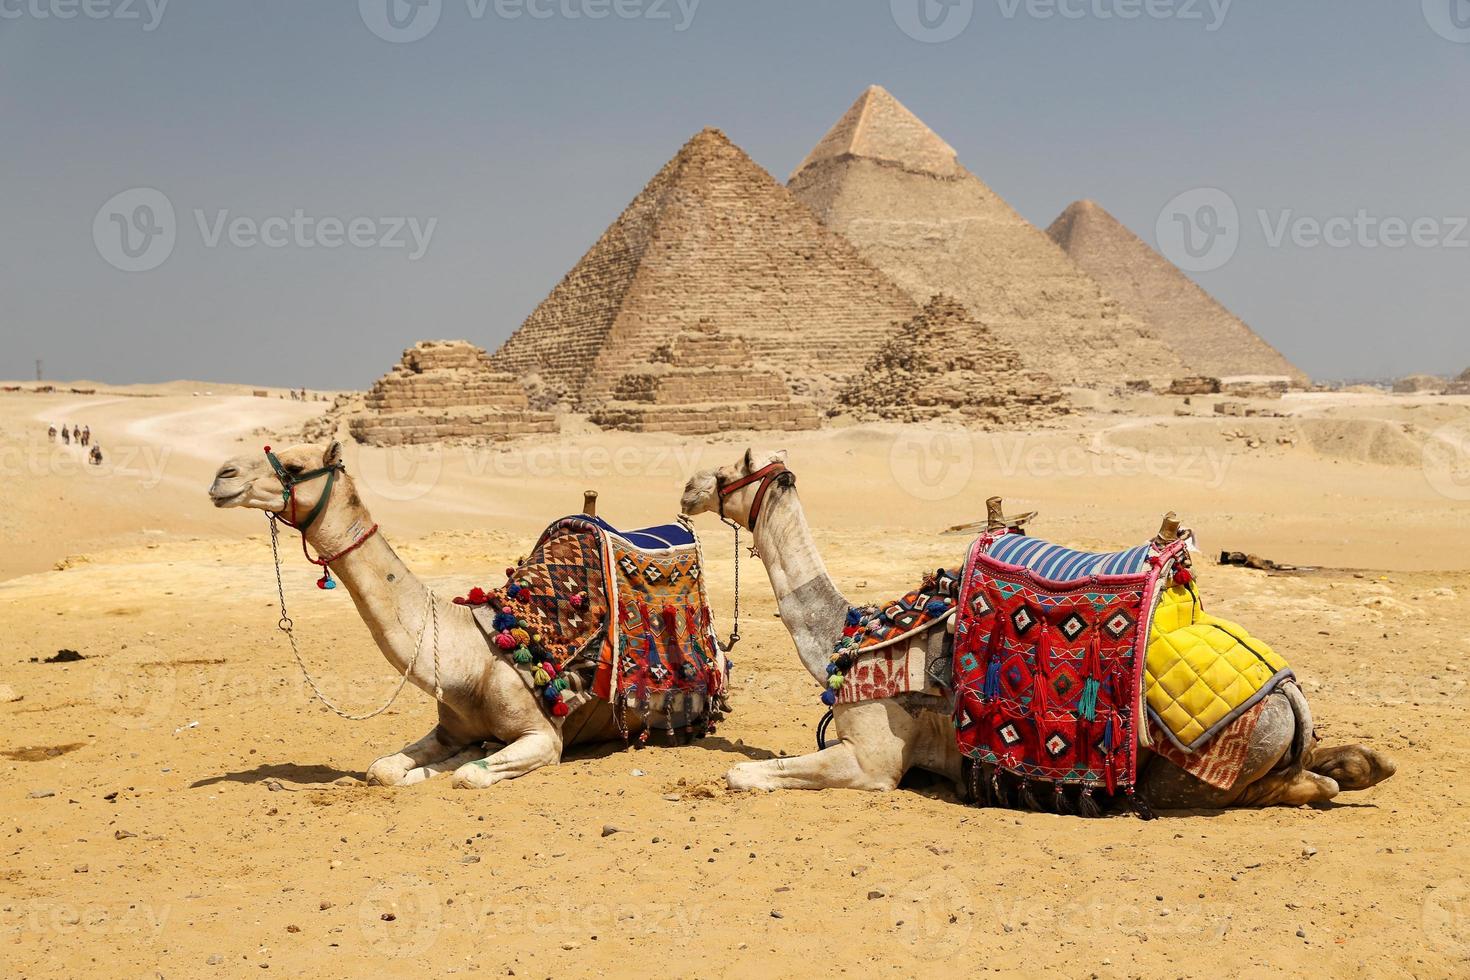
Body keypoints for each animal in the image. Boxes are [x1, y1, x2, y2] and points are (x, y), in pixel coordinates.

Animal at [208, 443, 643, 787]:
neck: (473, 658)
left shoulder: (544, 737)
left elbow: (468, 775)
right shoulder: (449, 730)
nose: (222, 475)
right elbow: (383, 770)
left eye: (296, 466)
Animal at [682, 449, 1393, 811]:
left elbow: (741, 775)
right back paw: (1367, 763)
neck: (849, 634)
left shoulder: (875, 761)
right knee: (1340, 764)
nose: (686, 488)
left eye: (726, 471)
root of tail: (1287, 691)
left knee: (1298, 786)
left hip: (1199, 771)